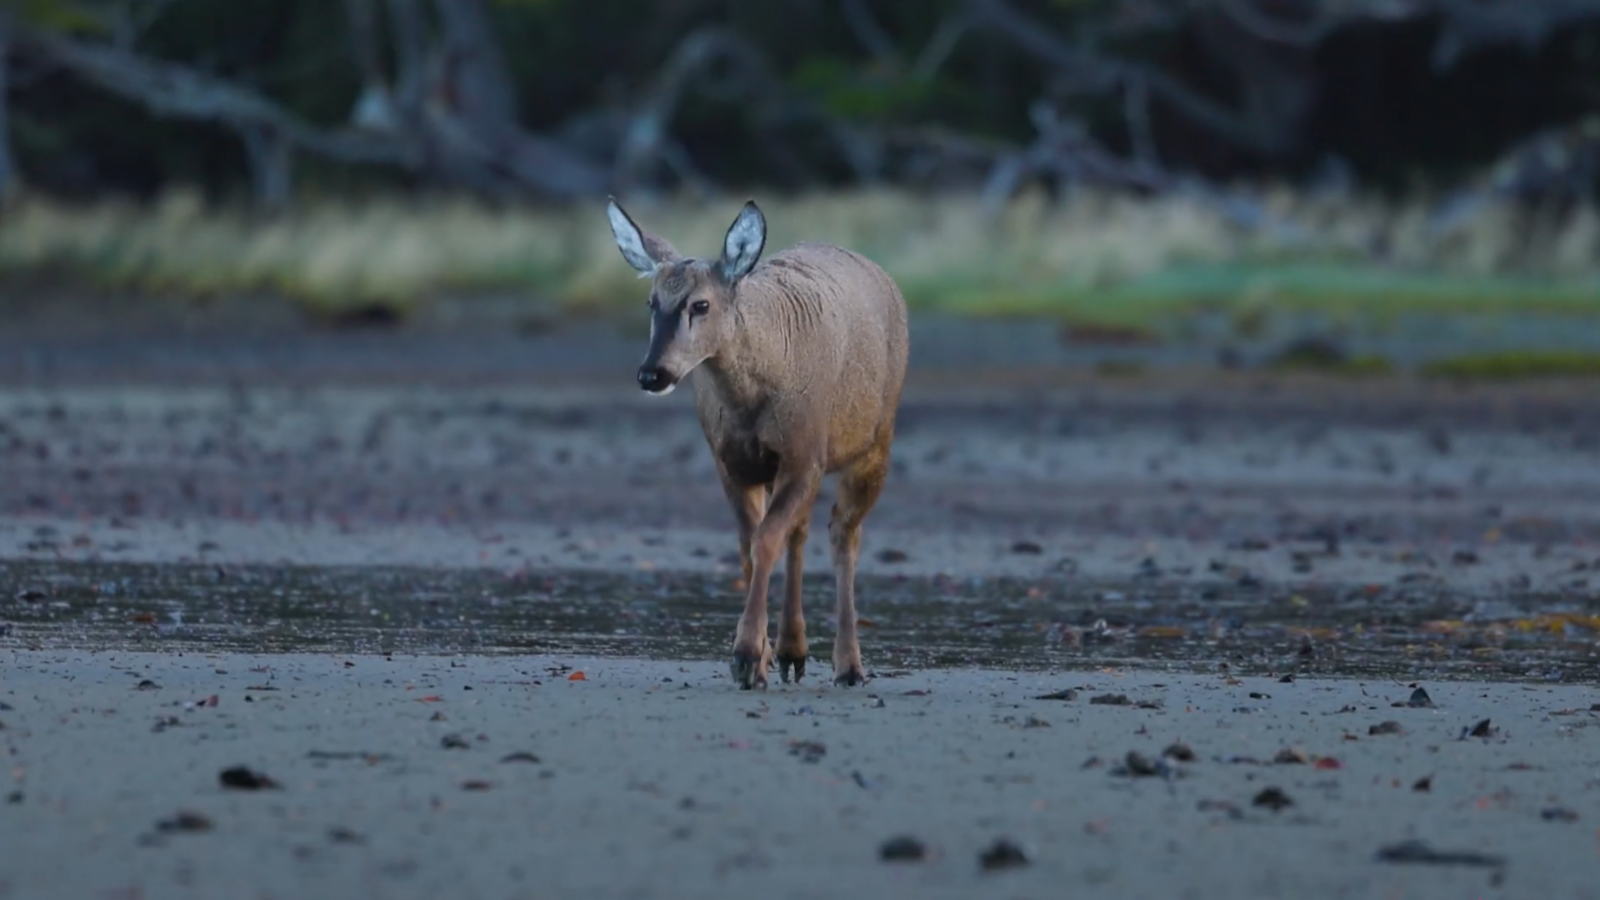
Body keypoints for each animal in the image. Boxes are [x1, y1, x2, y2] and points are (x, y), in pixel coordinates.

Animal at [608, 196, 915, 685]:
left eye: (700, 304)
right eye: (650, 302)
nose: (652, 373)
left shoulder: (805, 453)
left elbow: (766, 539)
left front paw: (748, 655)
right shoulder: (732, 462)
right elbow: (751, 545)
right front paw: (762, 654)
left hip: (874, 443)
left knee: (844, 534)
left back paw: (849, 665)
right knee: (802, 531)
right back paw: (793, 651)